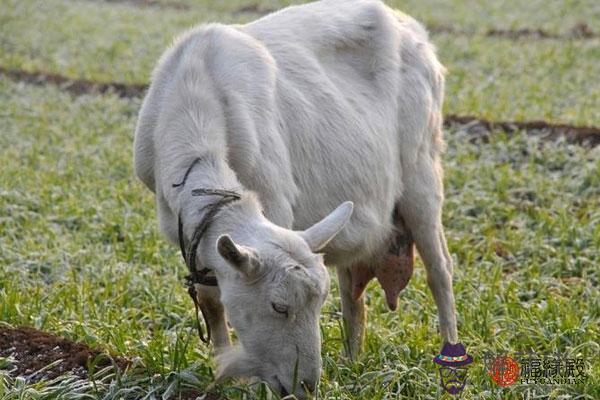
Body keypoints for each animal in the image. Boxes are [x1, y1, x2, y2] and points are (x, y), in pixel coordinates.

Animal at [134, 0, 458, 396]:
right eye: (278, 307)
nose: (305, 385)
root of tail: (413, 29)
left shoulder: (274, 202)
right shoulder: (190, 235)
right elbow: (212, 303)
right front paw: (227, 375)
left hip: (422, 171)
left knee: (440, 269)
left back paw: (450, 353)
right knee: (354, 291)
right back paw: (353, 360)